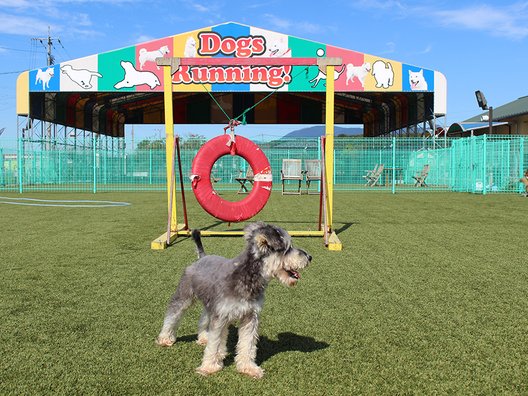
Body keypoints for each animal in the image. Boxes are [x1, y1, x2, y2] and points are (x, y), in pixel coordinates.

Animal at [155, 221, 312, 378]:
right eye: (287, 248)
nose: (310, 257)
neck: (247, 276)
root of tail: (202, 258)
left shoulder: (250, 317)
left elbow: (247, 344)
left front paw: (248, 367)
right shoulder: (221, 316)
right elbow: (215, 343)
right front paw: (209, 367)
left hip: (210, 305)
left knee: (204, 318)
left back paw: (204, 337)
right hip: (184, 296)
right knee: (172, 315)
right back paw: (165, 338)